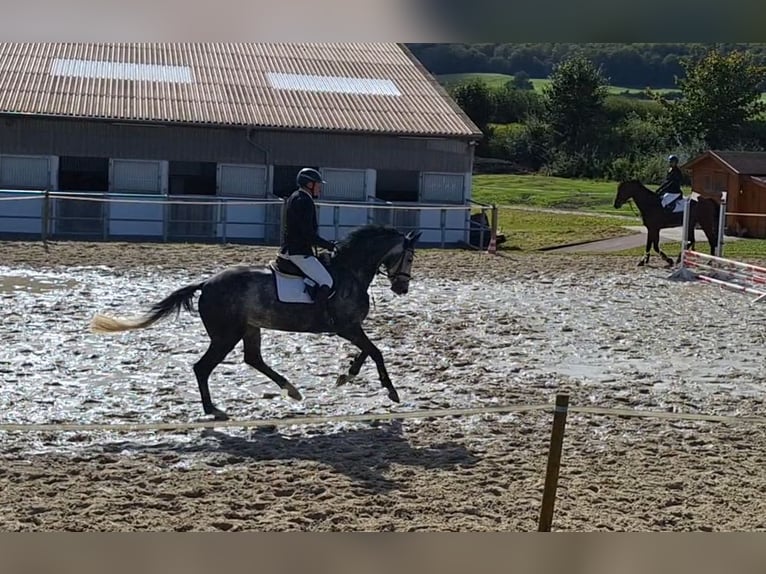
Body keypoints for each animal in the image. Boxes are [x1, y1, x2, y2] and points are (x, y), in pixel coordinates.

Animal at [94, 225, 426, 424]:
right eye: (409, 258)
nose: (402, 288)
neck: (350, 271)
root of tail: (207, 283)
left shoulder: (350, 328)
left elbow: (367, 352)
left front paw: (346, 375)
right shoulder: (347, 327)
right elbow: (376, 351)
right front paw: (390, 391)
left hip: (249, 328)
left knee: (253, 358)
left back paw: (291, 390)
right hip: (225, 335)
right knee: (203, 367)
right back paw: (214, 410)